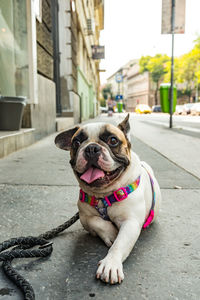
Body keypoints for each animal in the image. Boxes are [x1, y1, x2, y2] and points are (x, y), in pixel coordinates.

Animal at [54, 114, 161, 284]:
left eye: (113, 140)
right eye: (76, 142)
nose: (91, 148)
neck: (103, 195)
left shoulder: (130, 222)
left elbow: (120, 243)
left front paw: (110, 264)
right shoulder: (84, 216)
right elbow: (96, 221)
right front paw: (111, 233)